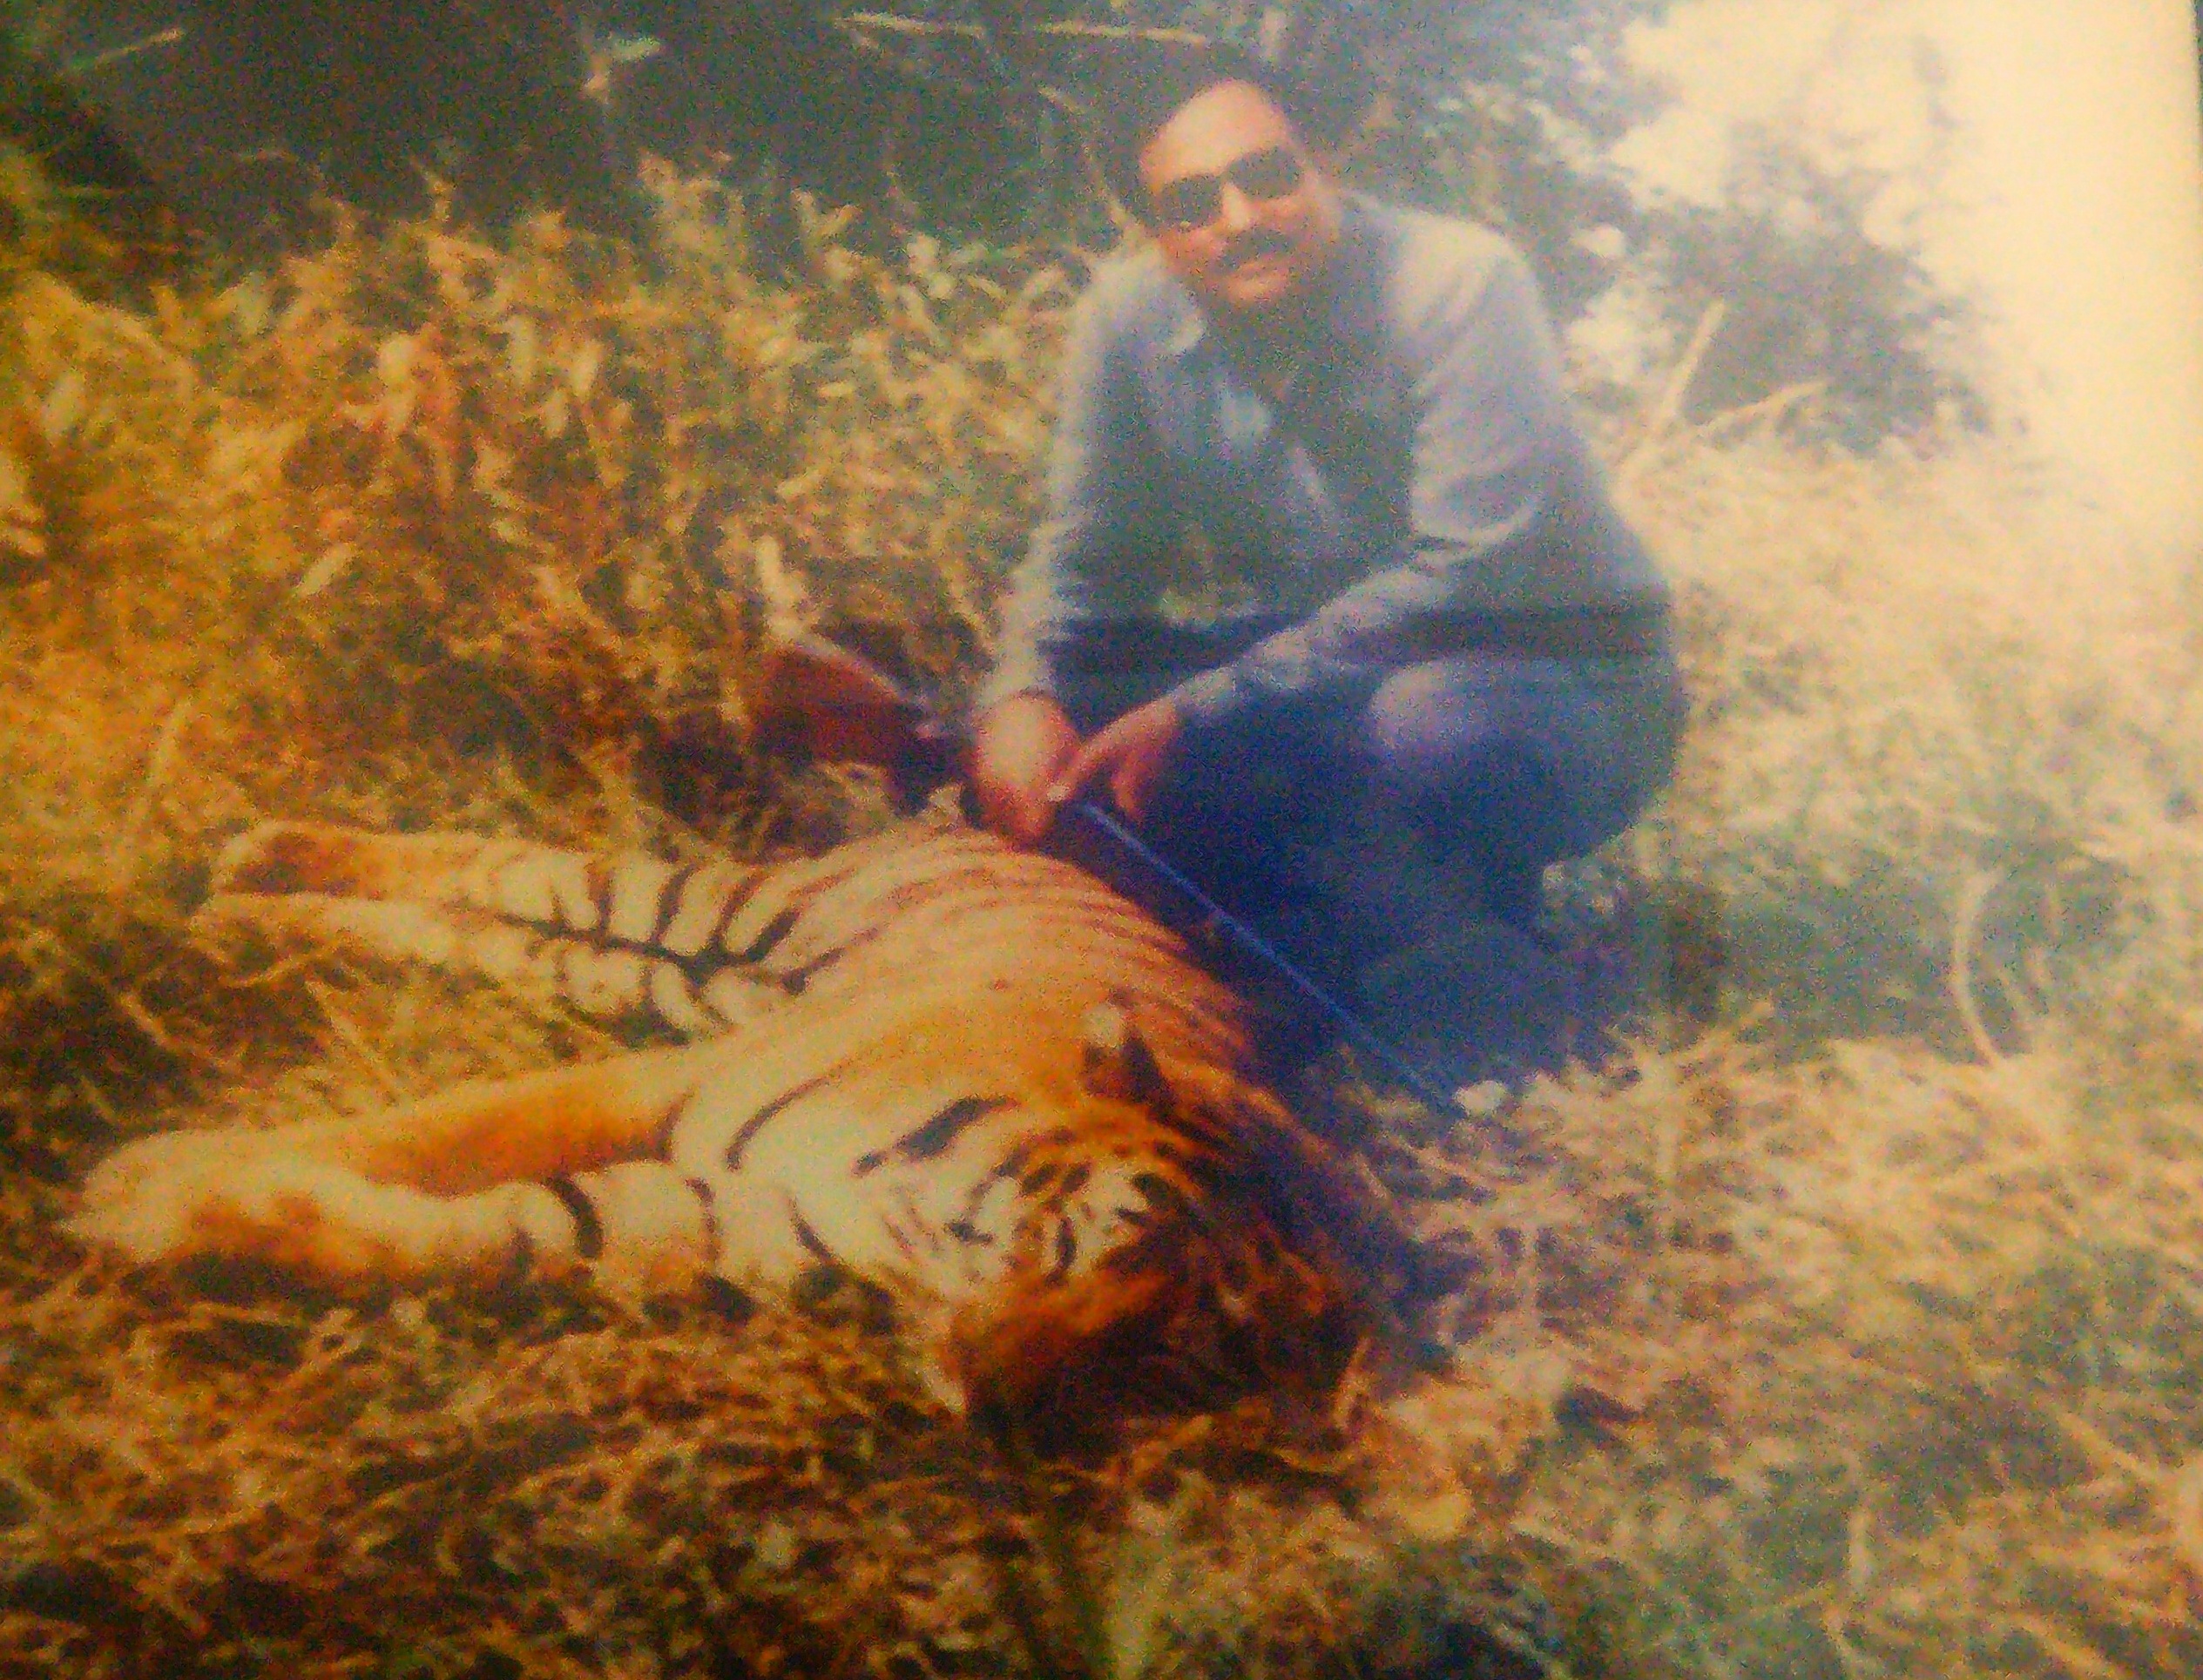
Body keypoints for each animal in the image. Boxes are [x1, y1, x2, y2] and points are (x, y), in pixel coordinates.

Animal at [72, 810, 1423, 1429]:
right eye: (1080, 1246)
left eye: (1155, 1356)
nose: (988, 1399)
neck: (910, 1218)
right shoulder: (665, 1087)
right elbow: (433, 1135)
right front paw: (151, 1177)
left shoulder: (708, 1215)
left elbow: (487, 1229)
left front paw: (184, 1213)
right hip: (697, 911)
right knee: (492, 865)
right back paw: (259, 866)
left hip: (643, 976)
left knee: (466, 929)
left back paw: (243, 913)